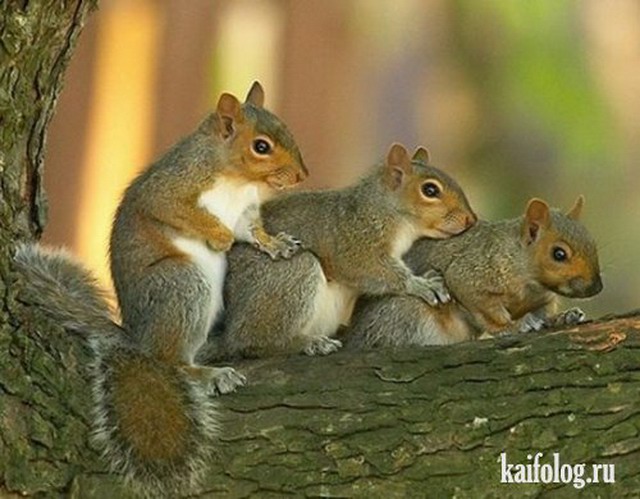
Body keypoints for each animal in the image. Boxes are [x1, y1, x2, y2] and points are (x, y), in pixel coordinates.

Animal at [11, 82, 308, 496]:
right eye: (261, 146)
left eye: (286, 128)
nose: (301, 176)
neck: (236, 181)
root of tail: (140, 340)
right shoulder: (172, 187)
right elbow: (177, 211)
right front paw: (219, 236)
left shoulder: (246, 211)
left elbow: (252, 230)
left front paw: (275, 244)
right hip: (181, 285)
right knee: (170, 362)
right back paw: (207, 375)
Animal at [198, 143, 478, 362]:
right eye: (430, 190)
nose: (470, 219)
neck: (387, 210)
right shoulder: (355, 241)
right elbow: (375, 271)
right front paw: (421, 284)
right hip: (289, 275)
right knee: (251, 341)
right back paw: (308, 343)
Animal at [344, 195, 600, 348]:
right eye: (559, 254)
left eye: (592, 242)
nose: (597, 287)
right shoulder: (471, 275)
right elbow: (489, 312)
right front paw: (513, 326)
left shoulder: (542, 299)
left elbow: (543, 314)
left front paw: (562, 317)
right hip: (406, 313)